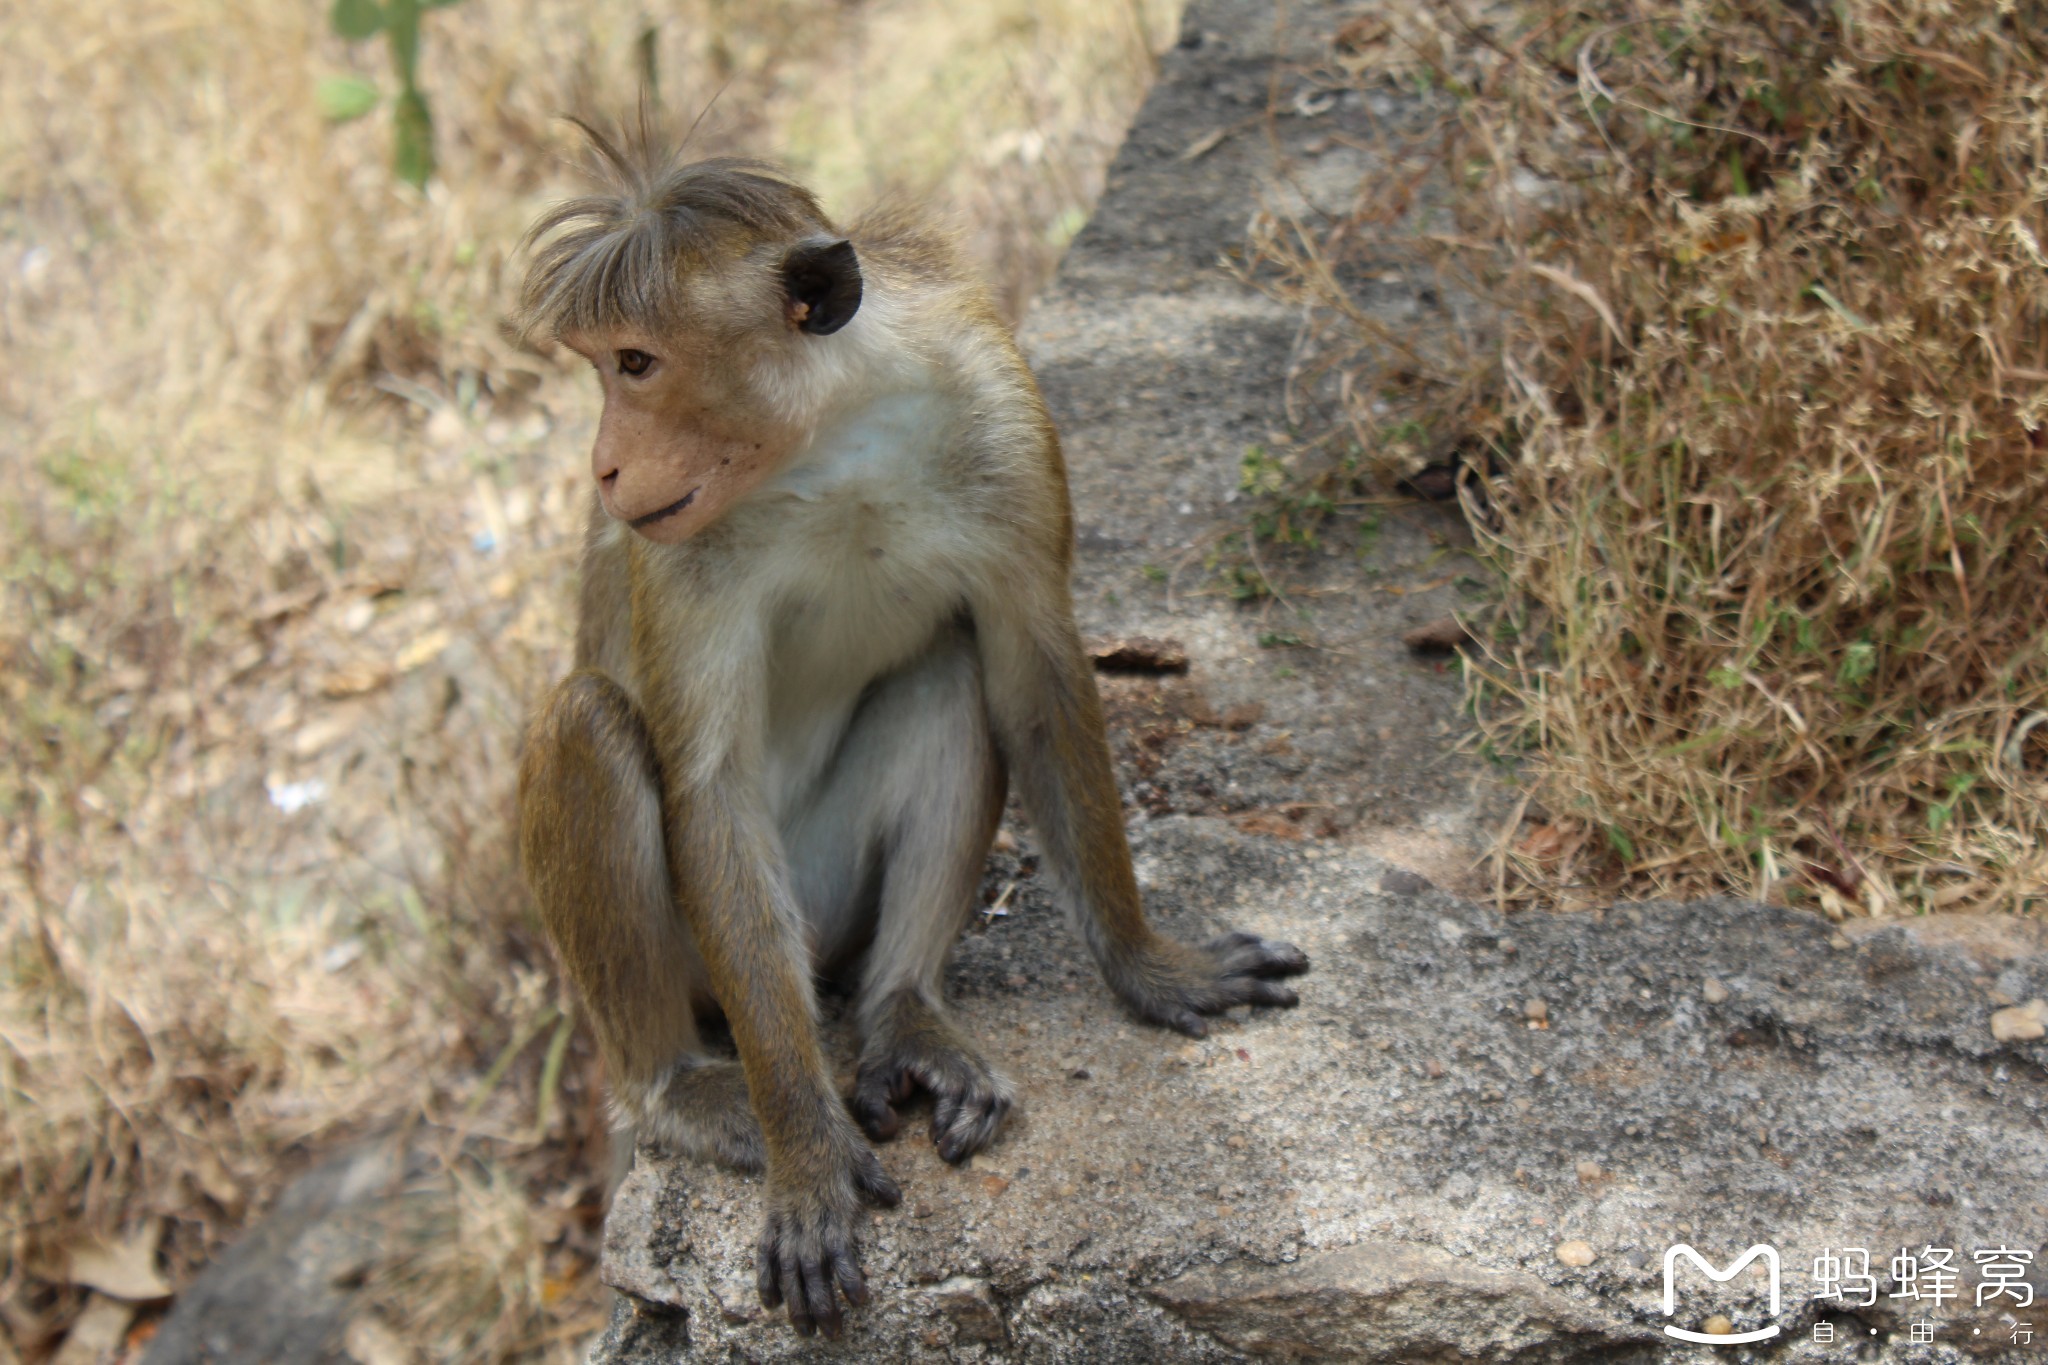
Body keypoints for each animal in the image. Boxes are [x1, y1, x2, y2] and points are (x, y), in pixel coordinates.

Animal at [516, 122, 1310, 1342]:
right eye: (601, 365)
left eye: (635, 364)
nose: (603, 465)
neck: (829, 439)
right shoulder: (678, 550)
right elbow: (710, 788)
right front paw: (806, 1152)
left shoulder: (997, 406)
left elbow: (1032, 669)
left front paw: (1147, 963)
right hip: (722, 968)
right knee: (588, 723)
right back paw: (687, 1089)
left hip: (833, 912)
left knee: (950, 667)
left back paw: (904, 1015)